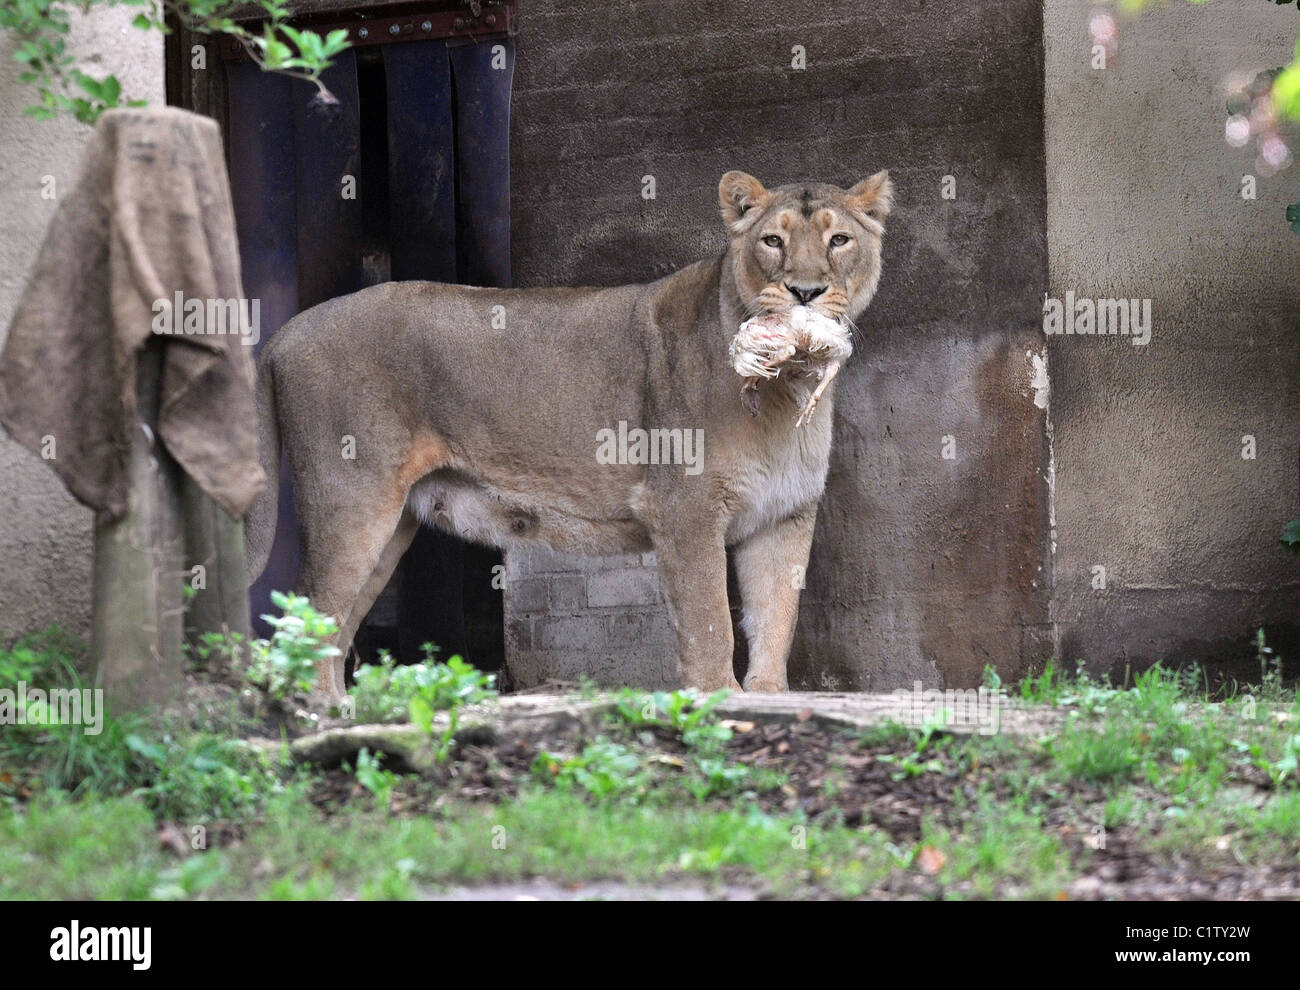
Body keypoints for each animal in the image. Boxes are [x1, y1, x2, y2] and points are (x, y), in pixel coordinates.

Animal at [246, 169, 894, 700]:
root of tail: (287, 331)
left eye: (839, 240)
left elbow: (776, 615)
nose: (805, 292)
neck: (786, 391)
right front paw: (719, 703)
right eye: (772, 241)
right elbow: (709, 621)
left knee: (332, 623)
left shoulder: (784, 513)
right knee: (309, 611)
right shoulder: (683, 507)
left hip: (392, 523)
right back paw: (319, 721)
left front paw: (766, 697)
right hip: (351, 499)